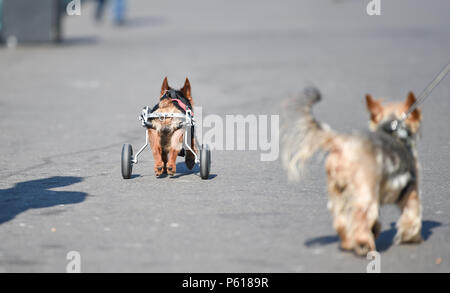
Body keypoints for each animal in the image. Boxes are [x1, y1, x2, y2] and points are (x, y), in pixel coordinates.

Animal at [284, 88, 424, 254]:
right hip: (365, 193)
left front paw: (375, 230)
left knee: (341, 220)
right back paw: (364, 244)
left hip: (338, 192)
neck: (393, 131)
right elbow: (412, 215)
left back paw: (348, 242)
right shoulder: (411, 190)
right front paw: (411, 237)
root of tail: (342, 143)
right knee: (360, 217)